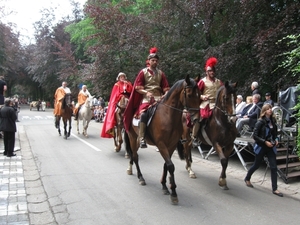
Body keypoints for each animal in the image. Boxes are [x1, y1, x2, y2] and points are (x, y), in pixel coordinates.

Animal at [123, 74, 200, 205]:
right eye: (190, 95)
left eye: (199, 94)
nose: (197, 119)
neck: (168, 116)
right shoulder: (161, 144)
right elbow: (170, 166)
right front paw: (173, 192)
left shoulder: (172, 145)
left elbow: (166, 165)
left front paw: (164, 186)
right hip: (133, 137)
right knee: (135, 156)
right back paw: (140, 177)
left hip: (137, 139)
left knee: (133, 154)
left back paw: (130, 169)